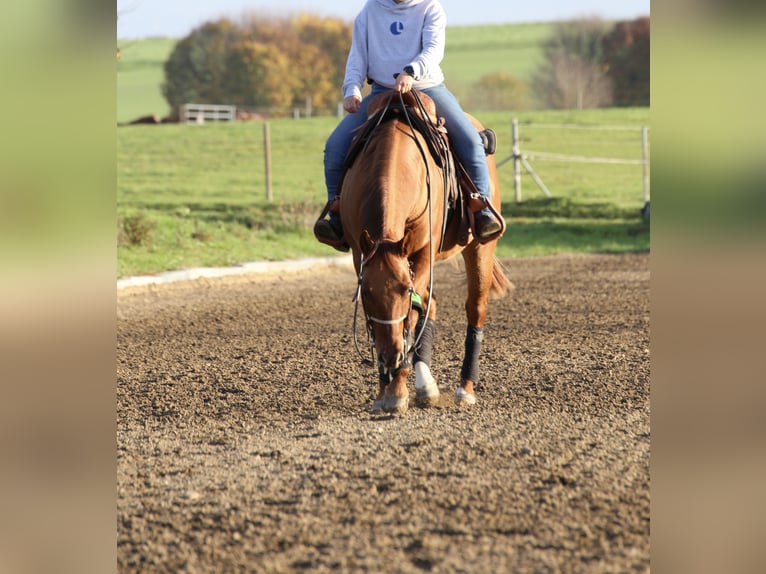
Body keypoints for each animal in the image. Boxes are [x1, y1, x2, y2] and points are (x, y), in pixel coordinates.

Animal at [340, 89, 510, 414]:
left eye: (403, 290)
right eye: (366, 293)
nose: (390, 356)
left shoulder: (423, 252)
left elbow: (413, 313)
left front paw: (397, 388)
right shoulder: (360, 254)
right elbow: (408, 314)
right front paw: (385, 389)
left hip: (479, 247)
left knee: (474, 308)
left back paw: (465, 388)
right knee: (431, 306)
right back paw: (424, 385)